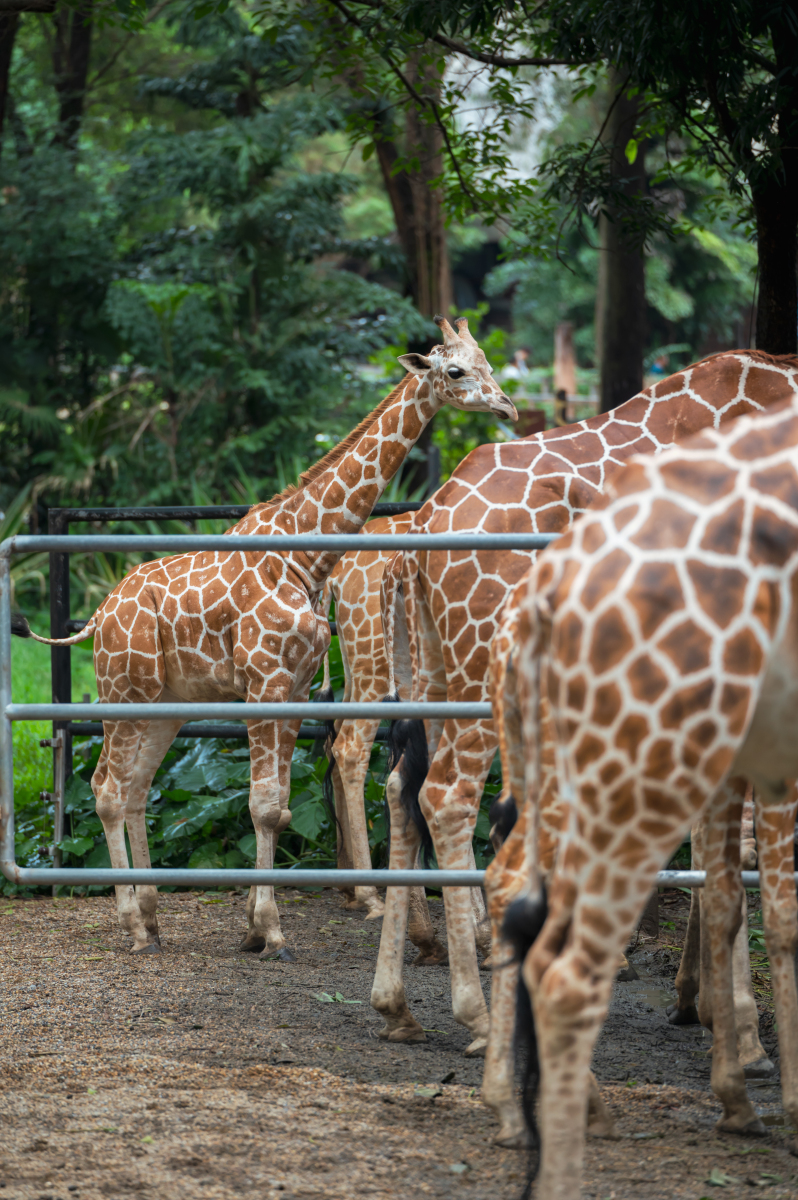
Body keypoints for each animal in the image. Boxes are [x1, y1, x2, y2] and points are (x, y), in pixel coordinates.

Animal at [14, 319, 516, 955]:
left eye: (488, 363)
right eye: (454, 370)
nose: (507, 405)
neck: (306, 557)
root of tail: (99, 616)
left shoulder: (294, 687)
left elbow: (277, 809)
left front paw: (258, 927)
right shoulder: (262, 682)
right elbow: (260, 805)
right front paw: (269, 928)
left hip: (165, 705)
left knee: (135, 788)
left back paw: (152, 919)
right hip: (121, 691)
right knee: (106, 787)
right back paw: (131, 925)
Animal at [369, 343, 796, 1056]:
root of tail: (427, 520)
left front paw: (701, 1004)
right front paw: (740, 1030)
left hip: (435, 665)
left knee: (404, 784)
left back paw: (396, 1003)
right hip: (487, 664)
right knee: (447, 795)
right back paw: (478, 1015)